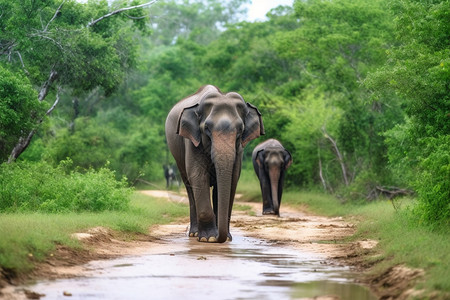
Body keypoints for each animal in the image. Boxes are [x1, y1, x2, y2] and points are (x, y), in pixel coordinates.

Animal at [165, 83, 264, 243]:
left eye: (240, 129)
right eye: (206, 128)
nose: (220, 237)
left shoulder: (239, 149)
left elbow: (232, 179)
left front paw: (226, 237)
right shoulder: (192, 142)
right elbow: (198, 176)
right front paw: (209, 238)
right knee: (189, 187)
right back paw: (194, 234)